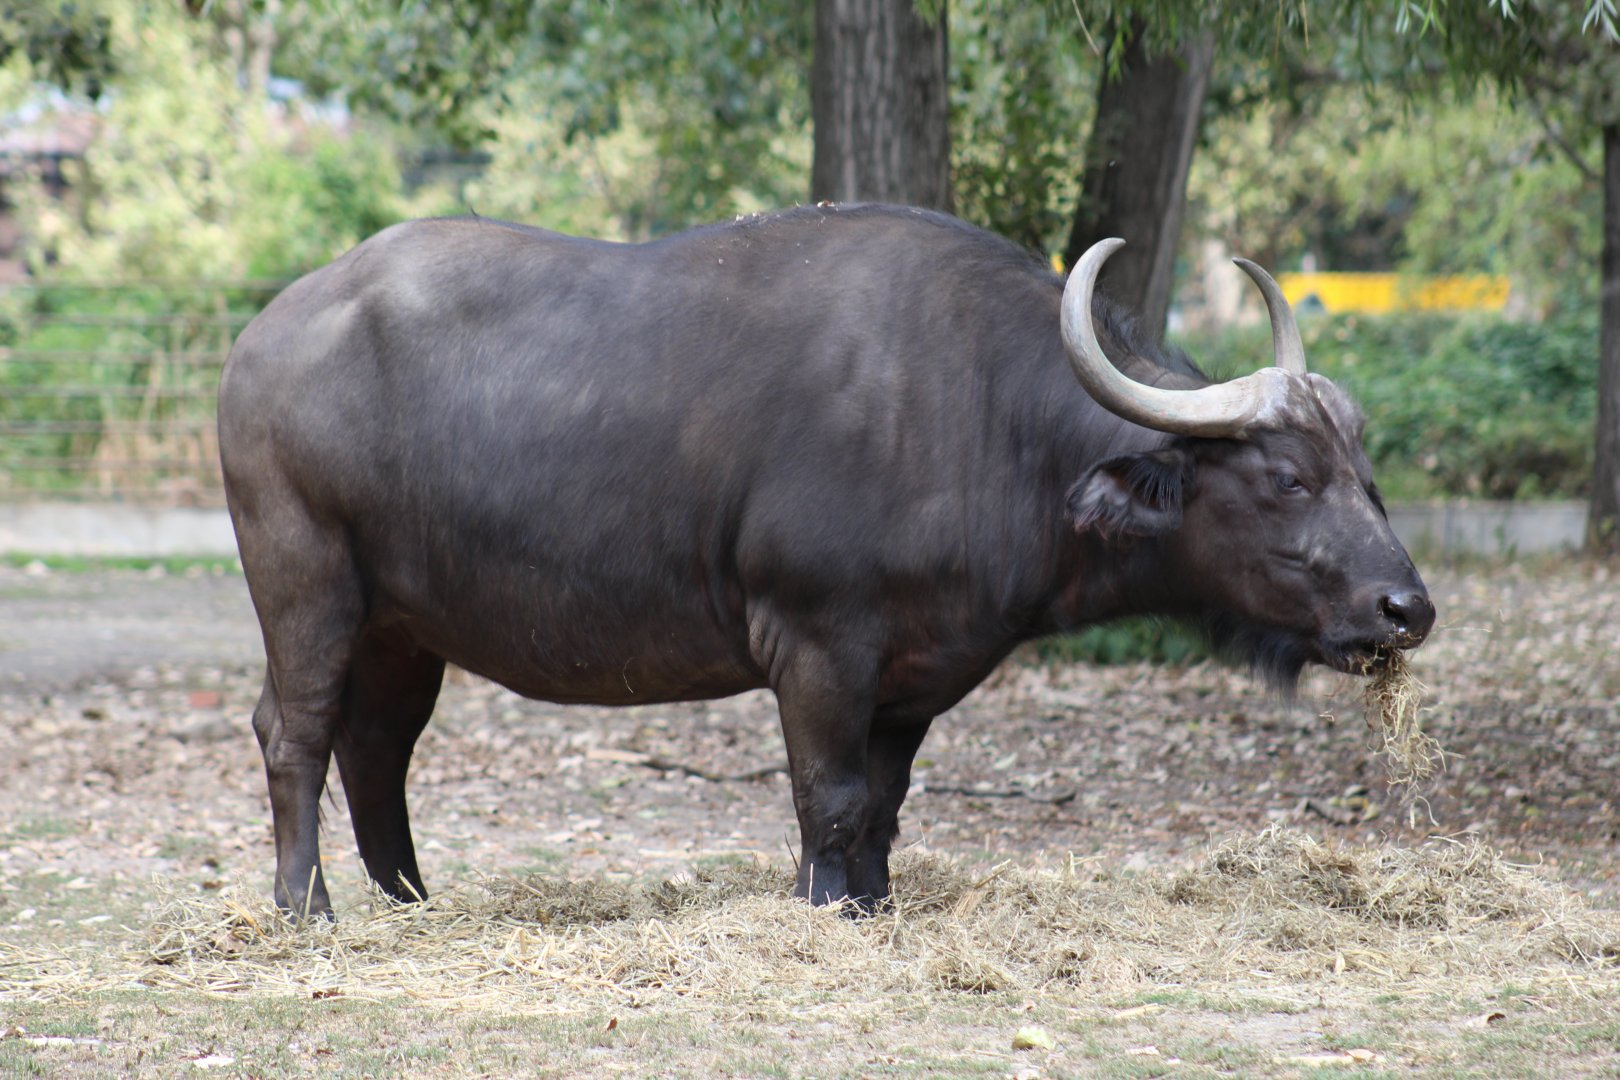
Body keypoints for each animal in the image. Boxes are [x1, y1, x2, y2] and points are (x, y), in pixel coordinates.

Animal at [219, 204, 1433, 916]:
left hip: (402, 624)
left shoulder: (917, 674)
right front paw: (821, 904)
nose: (1406, 608)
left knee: (379, 747)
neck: (983, 418)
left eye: (1365, 466)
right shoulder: (815, 644)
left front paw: (875, 902)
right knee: (296, 732)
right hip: (305, 581)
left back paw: (410, 898)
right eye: (1286, 478)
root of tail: (263, 339)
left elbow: (885, 803)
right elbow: (831, 796)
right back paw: (306, 906)